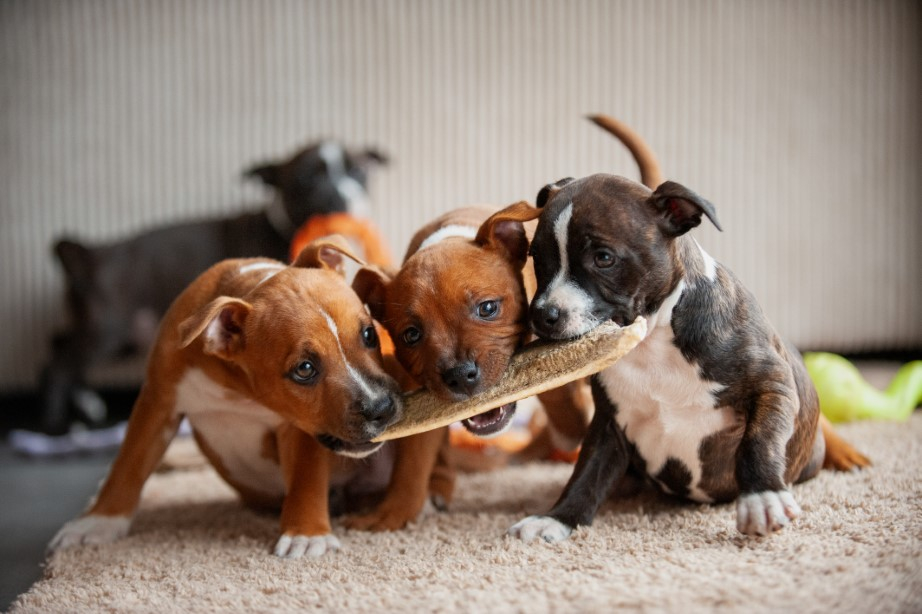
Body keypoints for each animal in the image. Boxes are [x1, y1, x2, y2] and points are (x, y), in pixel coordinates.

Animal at [38, 143, 384, 436]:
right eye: (304, 179)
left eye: (358, 171)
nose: (339, 198)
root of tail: (88, 255)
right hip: (108, 328)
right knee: (60, 364)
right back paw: (57, 426)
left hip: (115, 332)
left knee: (58, 344)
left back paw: (87, 407)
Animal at [48, 236, 448, 560]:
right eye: (304, 369)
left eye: (368, 334)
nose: (380, 408)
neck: (238, 388)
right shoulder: (158, 403)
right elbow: (128, 464)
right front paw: (98, 521)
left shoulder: (297, 430)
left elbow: (306, 477)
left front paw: (305, 534)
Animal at [506, 113, 868, 540]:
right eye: (536, 257)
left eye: (603, 258)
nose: (543, 314)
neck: (654, 341)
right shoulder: (609, 424)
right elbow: (586, 473)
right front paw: (558, 517)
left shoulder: (772, 384)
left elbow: (758, 441)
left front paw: (762, 497)